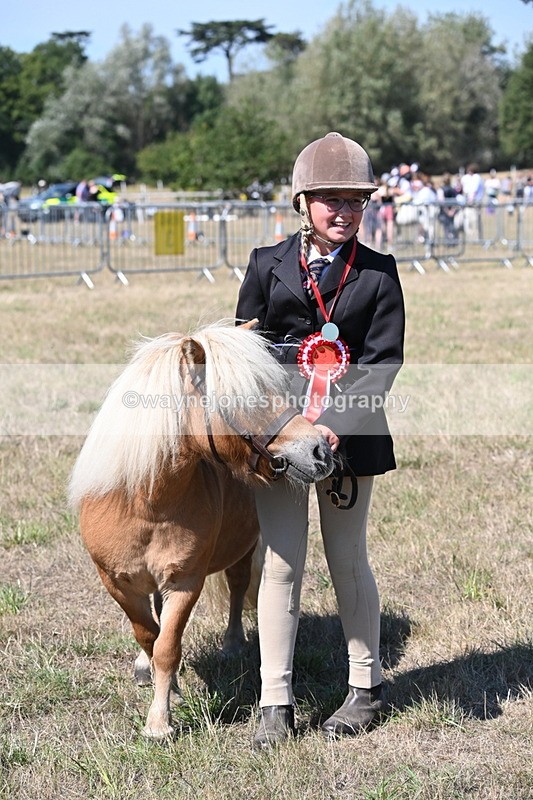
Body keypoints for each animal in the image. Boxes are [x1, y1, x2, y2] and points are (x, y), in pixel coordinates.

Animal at [69, 322, 334, 738]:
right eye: (245, 399)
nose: (320, 449)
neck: (145, 503)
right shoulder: (116, 583)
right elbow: (148, 635)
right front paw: (165, 690)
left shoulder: (185, 582)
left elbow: (167, 646)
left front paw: (159, 722)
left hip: (244, 547)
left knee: (238, 587)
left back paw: (232, 644)